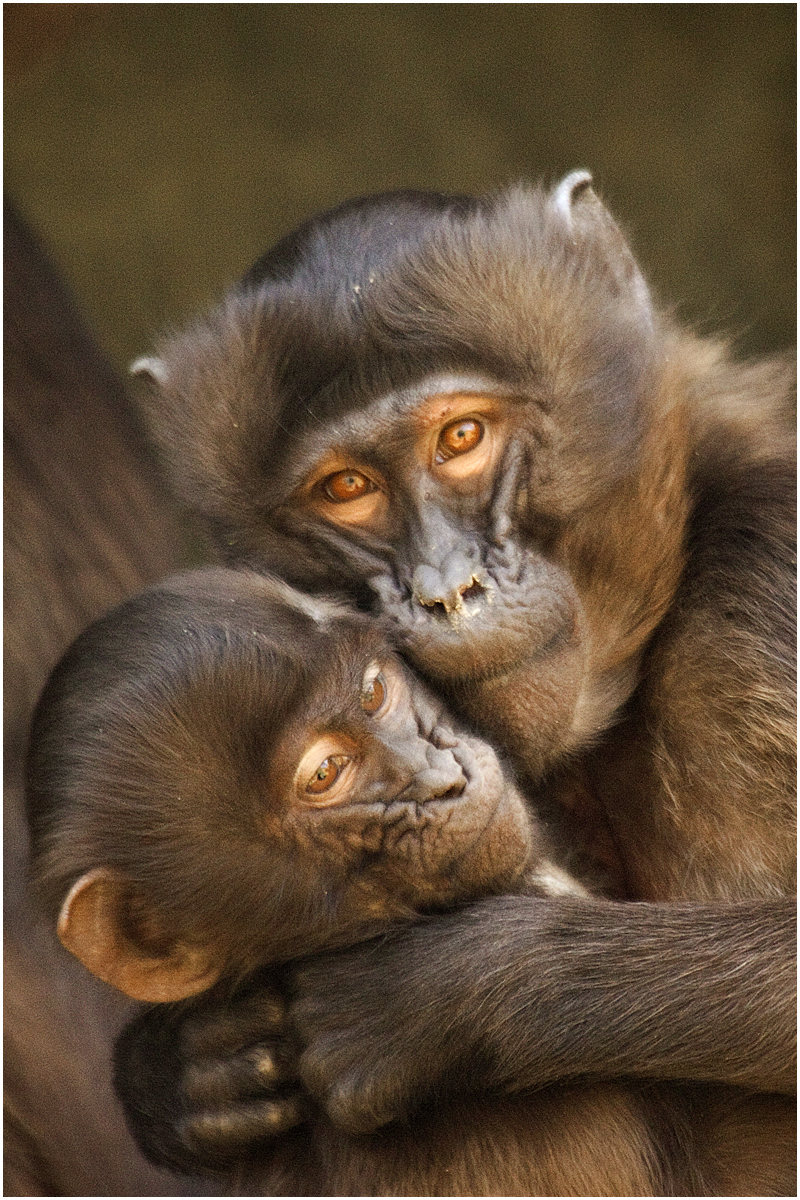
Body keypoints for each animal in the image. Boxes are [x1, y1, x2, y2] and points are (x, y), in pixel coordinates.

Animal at [124, 174, 795, 1175]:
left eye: (462, 436)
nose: (447, 591)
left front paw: (439, 993)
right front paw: (178, 1069)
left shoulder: (767, 580)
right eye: (346, 488)